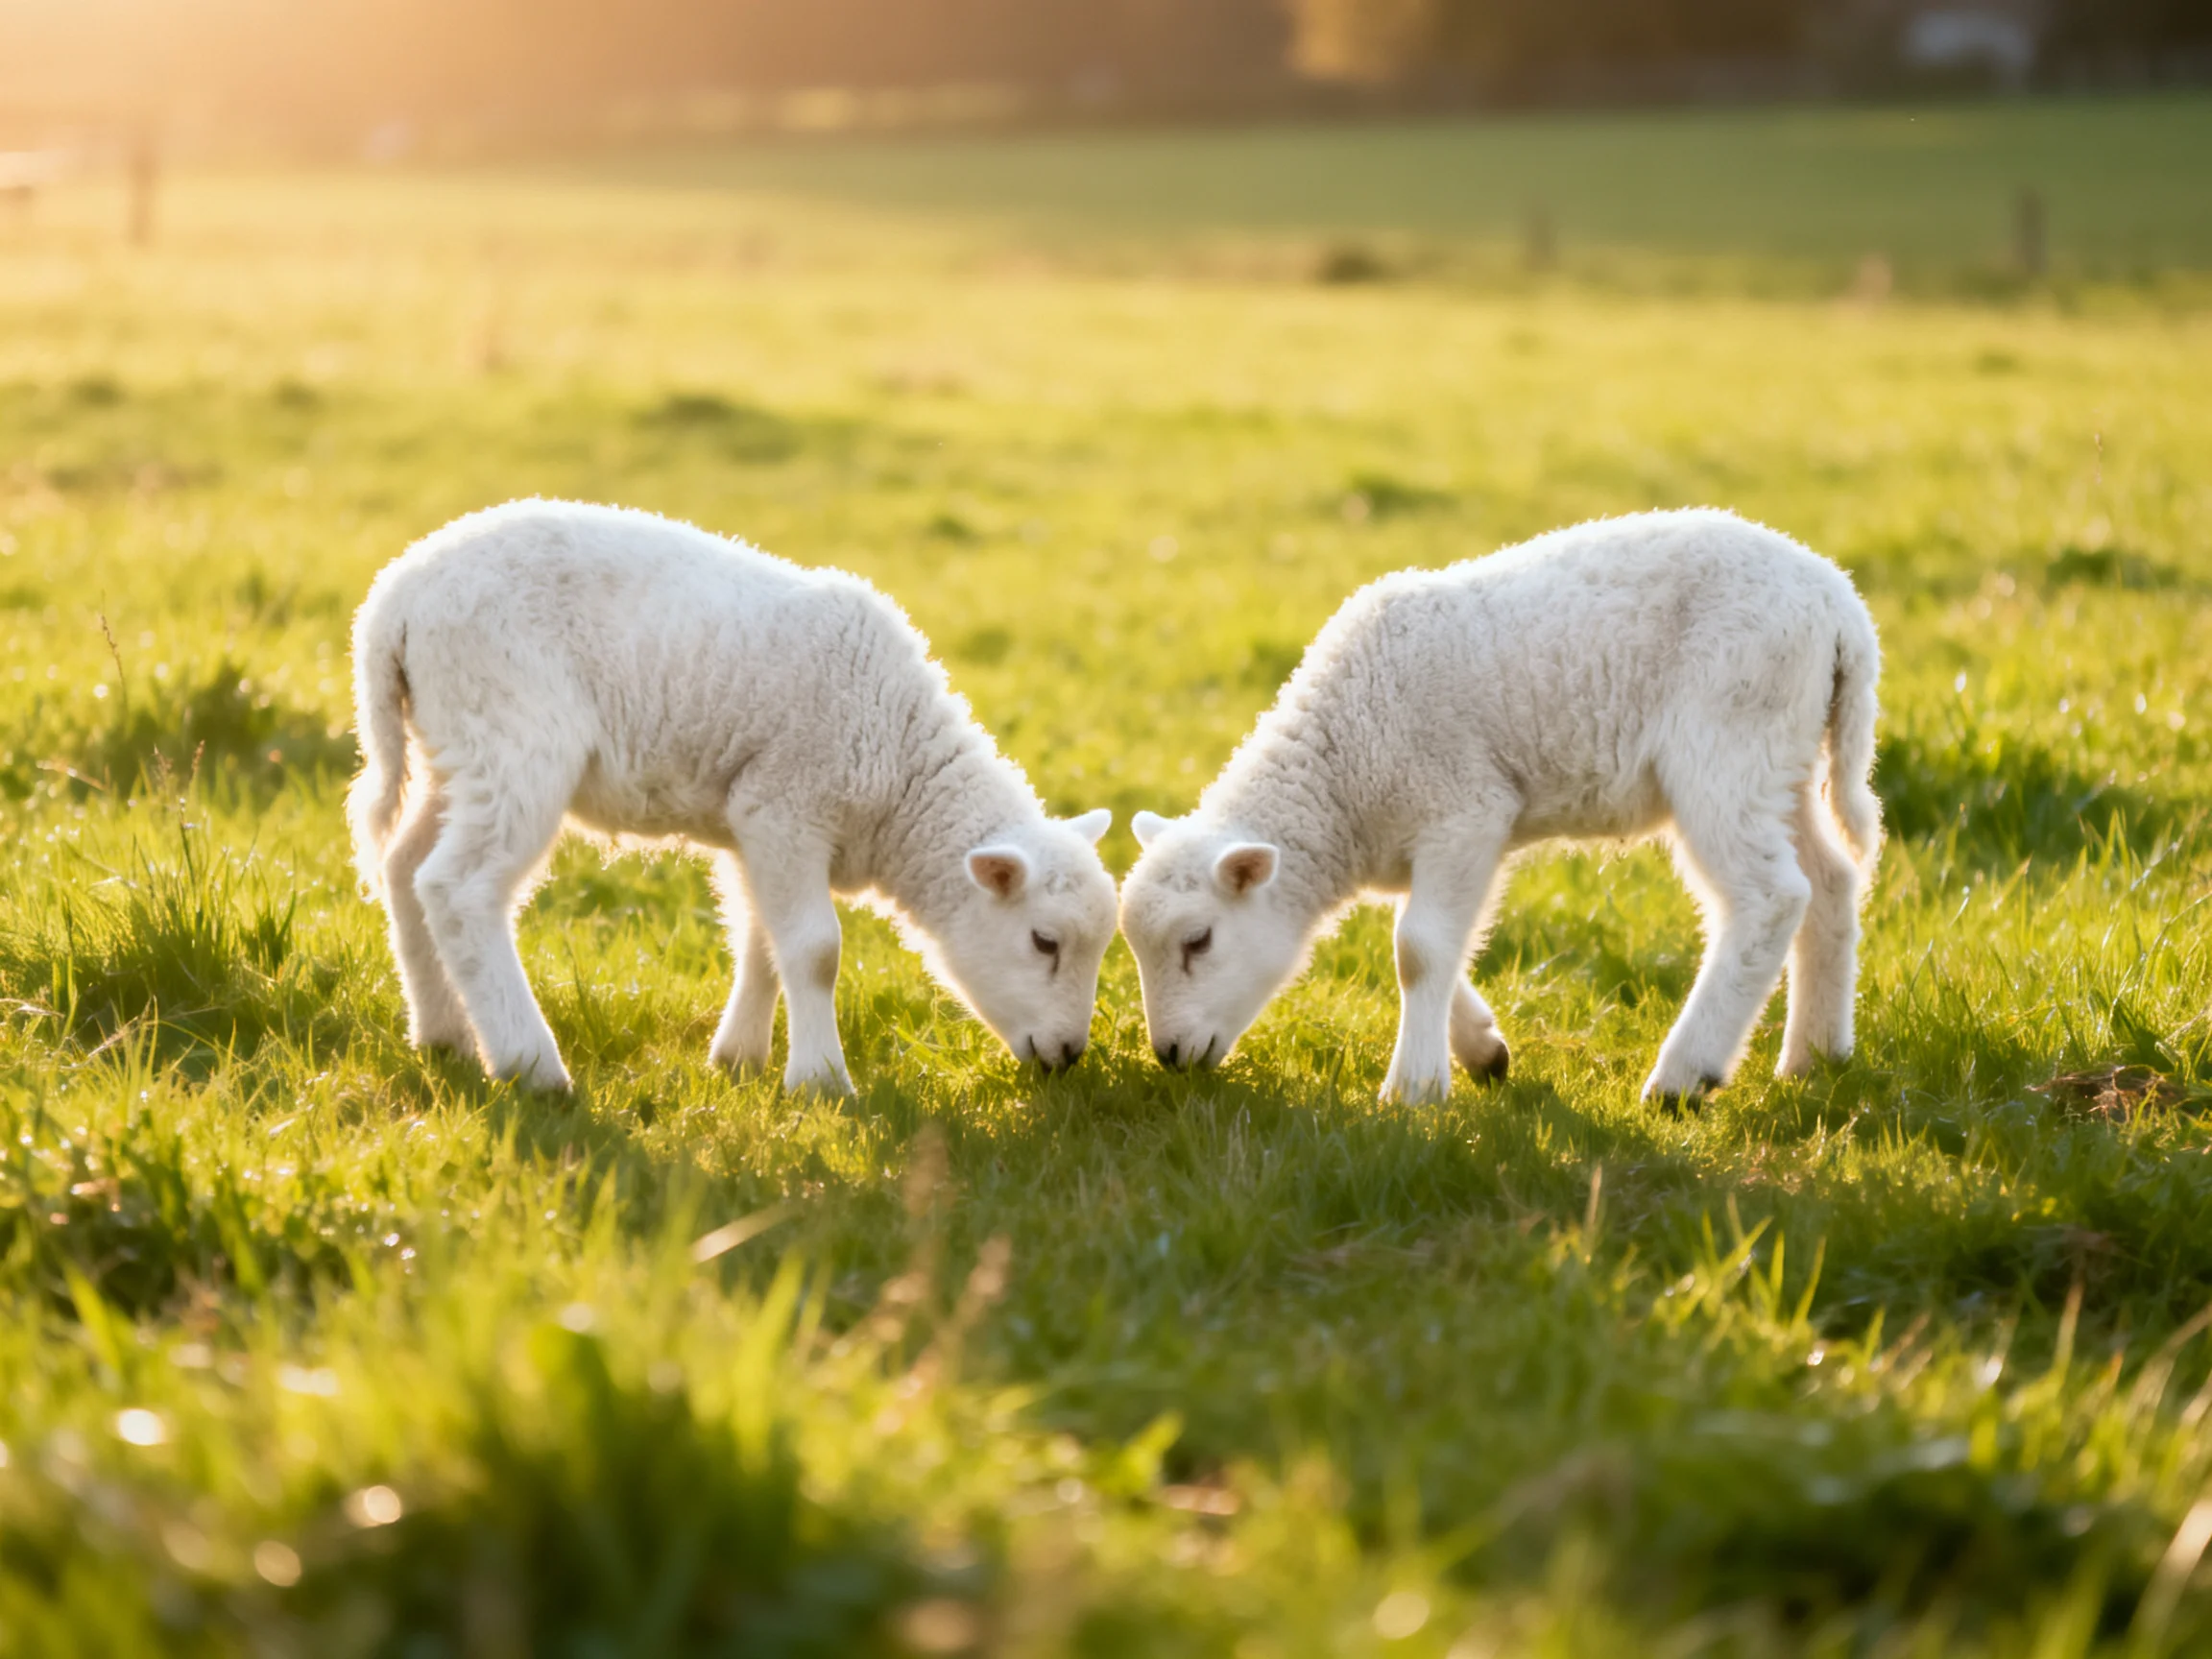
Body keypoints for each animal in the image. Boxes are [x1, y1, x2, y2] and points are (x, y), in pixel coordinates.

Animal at [347, 499, 1118, 1095]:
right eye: (1044, 942)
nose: (1067, 1056)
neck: (900, 771)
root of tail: (394, 602)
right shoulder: (789, 803)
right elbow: (814, 949)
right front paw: (821, 1083)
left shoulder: (755, 820)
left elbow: (762, 939)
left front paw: (739, 1061)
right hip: (515, 736)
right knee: (458, 888)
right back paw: (529, 1062)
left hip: (456, 747)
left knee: (405, 869)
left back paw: (442, 1034)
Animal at [1119, 508, 1882, 1106]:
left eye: (1197, 941)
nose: (1169, 1056)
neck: (1342, 784)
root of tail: (1839, 605)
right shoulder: (1448, 837)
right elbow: (1431, 938)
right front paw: (1482, 1051)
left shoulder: (1464, 810)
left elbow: (1418, 949)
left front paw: (1415, 1088)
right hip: (1783, 758)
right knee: (1830, 881)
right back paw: (1815, 1058)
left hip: (1727, 744)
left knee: (1770, 897)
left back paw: (1685, 1076)